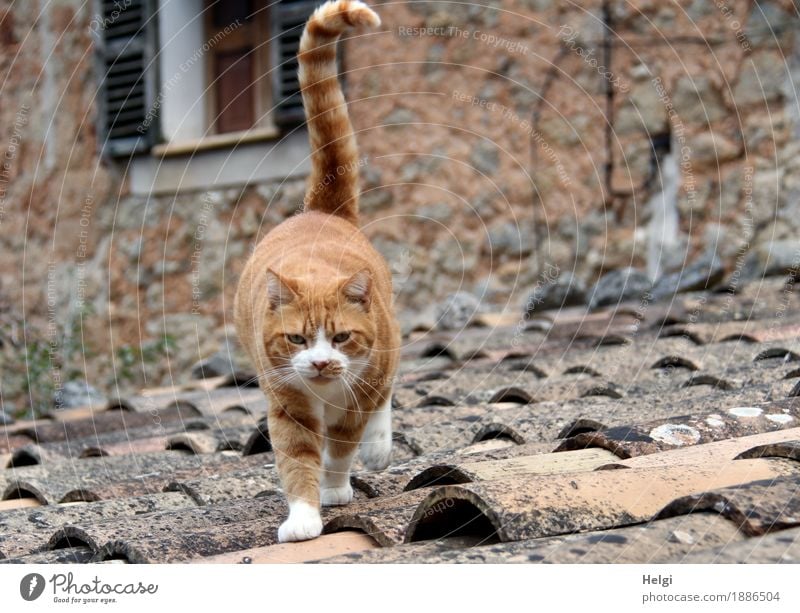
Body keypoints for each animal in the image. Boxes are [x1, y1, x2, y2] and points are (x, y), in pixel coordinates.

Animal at [233, 2, 398, 544]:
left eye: (341, 336)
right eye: (297, 339)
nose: (323, 363)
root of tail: (319, 210)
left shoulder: (358, 395)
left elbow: (341, 448)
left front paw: (335, 490)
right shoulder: (287, 404)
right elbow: (299, 458)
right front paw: (304, 516)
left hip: (386, 354)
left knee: (386, 394)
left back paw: (379, 446)